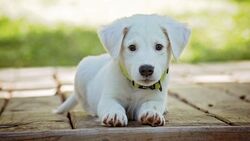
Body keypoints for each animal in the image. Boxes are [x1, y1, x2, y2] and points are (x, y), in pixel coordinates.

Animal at [55, 14, 190, 126]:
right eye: (132, 47)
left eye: (159, 46)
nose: (146, 69)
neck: (135, 87)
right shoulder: (108, 98)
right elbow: (113, 106)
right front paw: (114, 115)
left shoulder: (155, 99)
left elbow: (152, 105)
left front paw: (152, 113)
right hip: (82, 72)